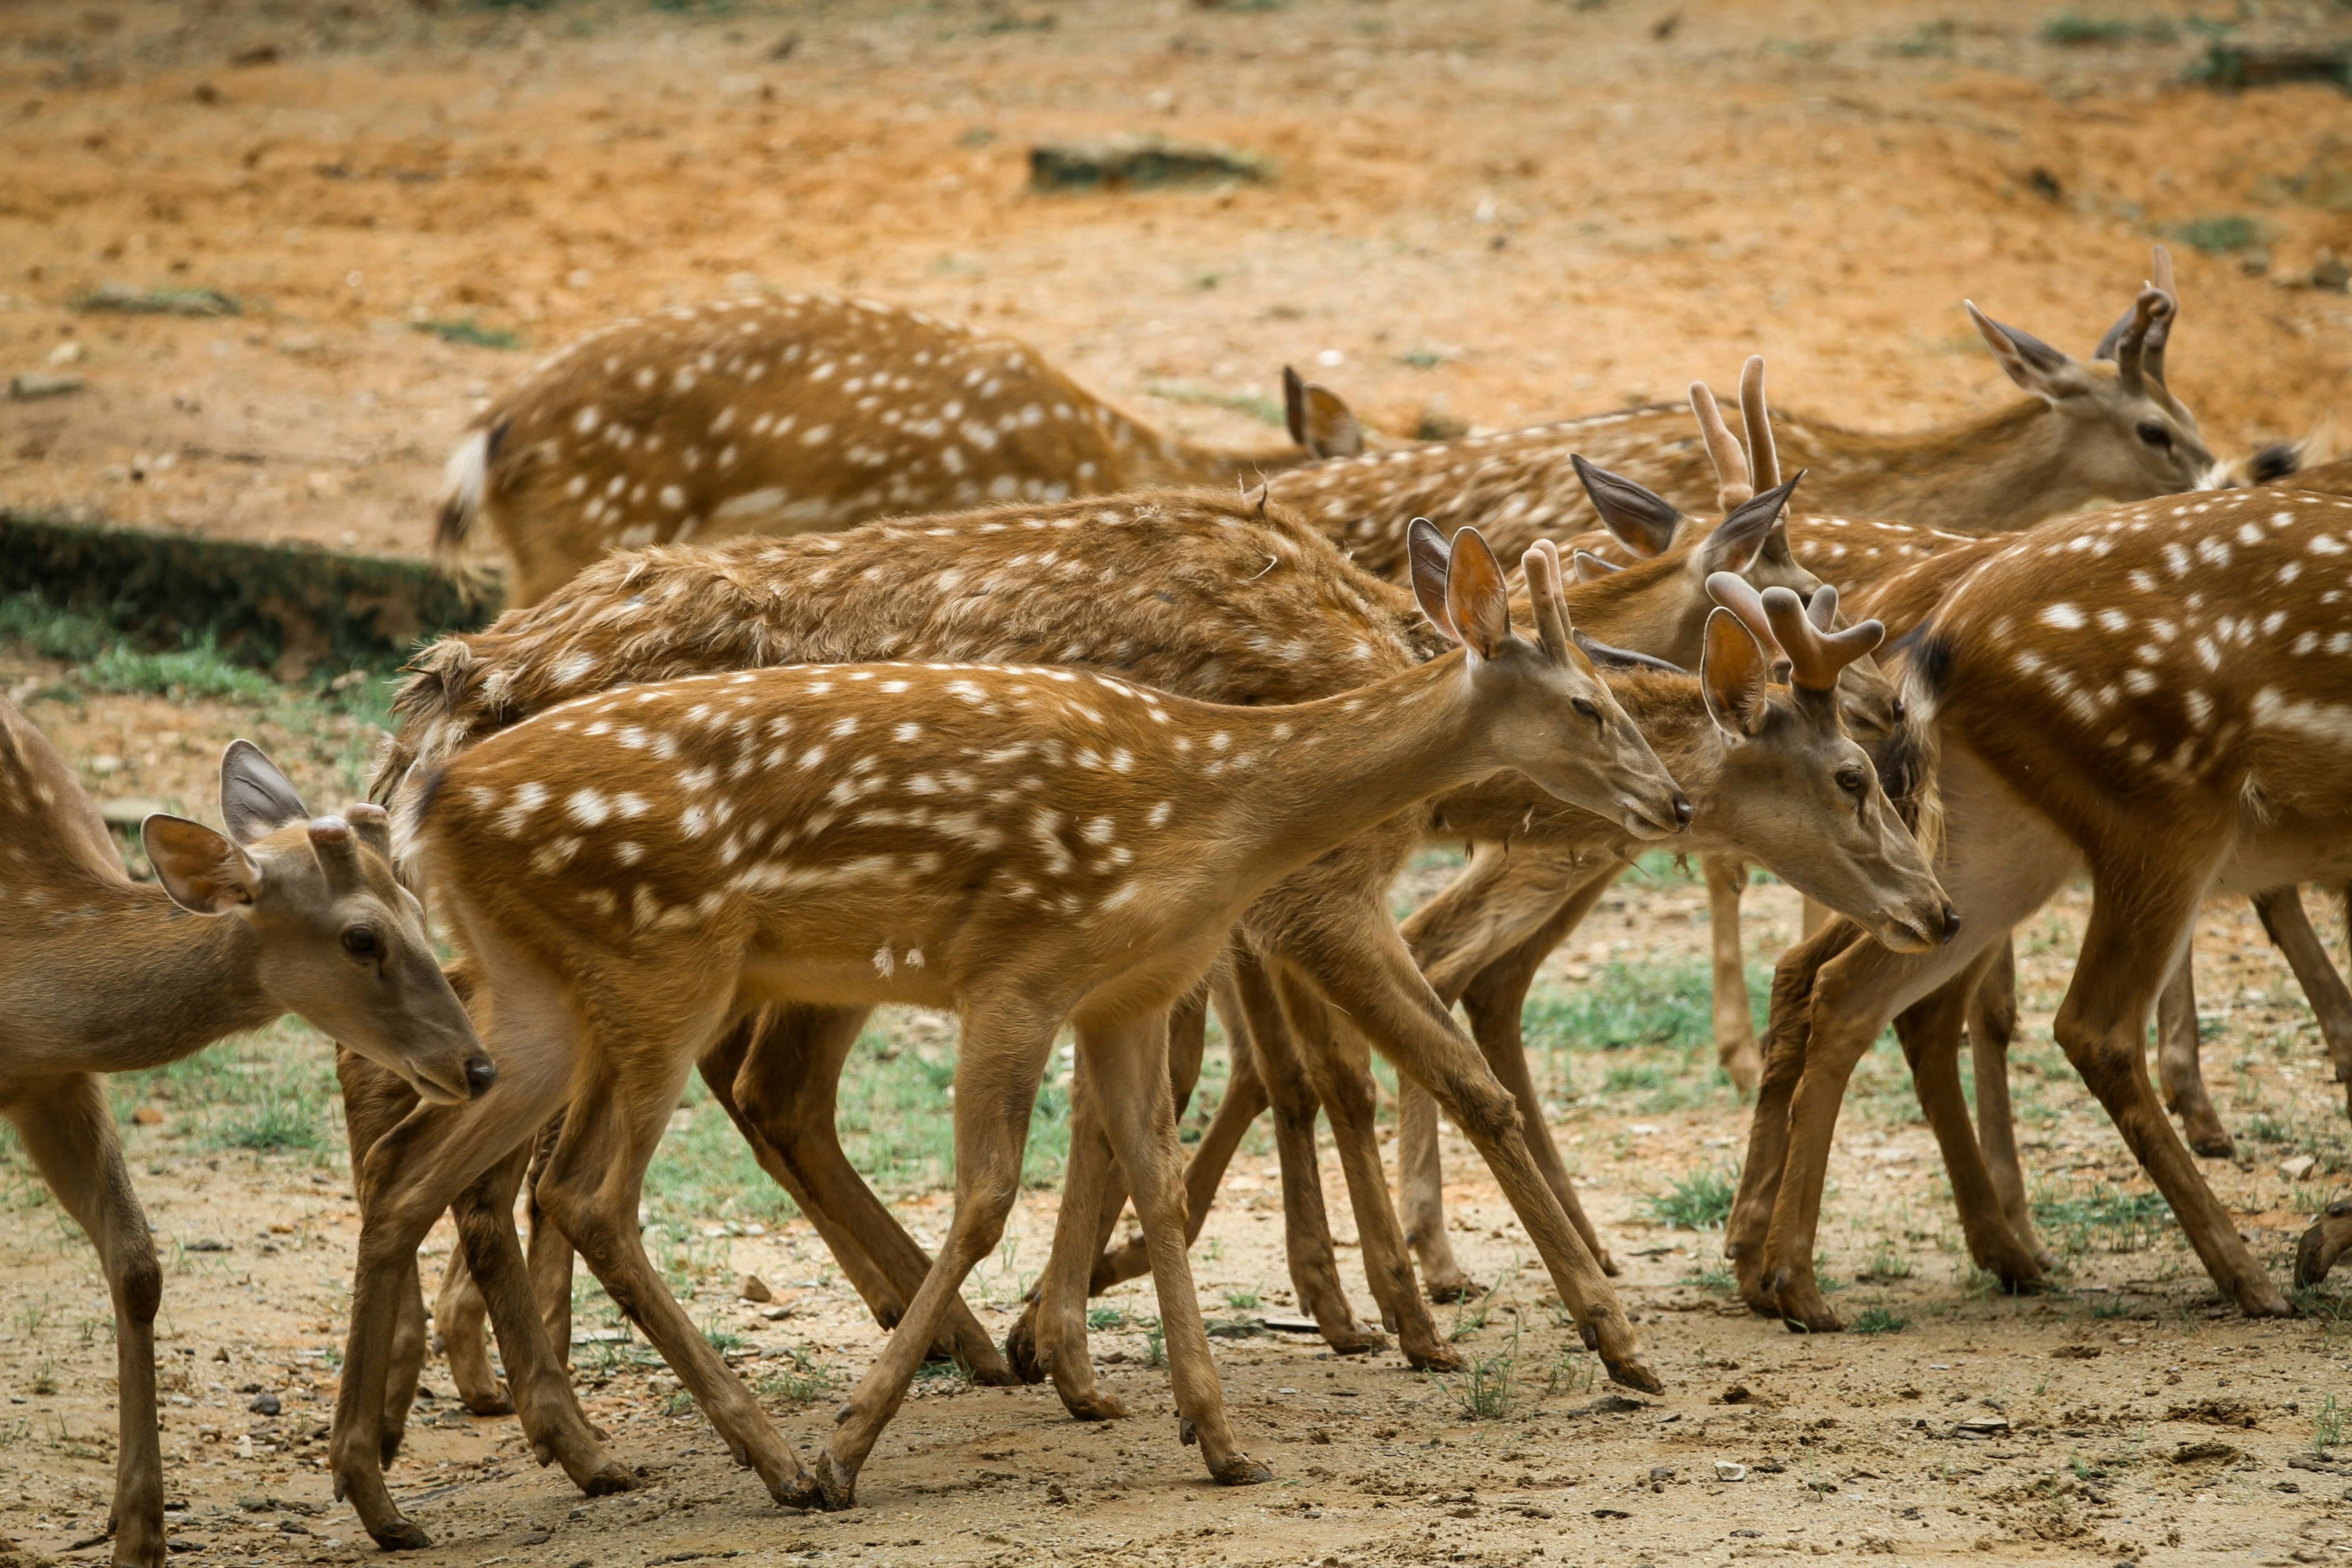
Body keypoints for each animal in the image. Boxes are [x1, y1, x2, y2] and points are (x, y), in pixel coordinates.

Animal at [0, 710, 489, 1568]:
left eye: (419, 907)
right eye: (360, 939)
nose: (478, 1065)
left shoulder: (50, 1077)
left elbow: (137, 1266)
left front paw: (140, 1533)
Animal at [1712, 484, 2352, 1335]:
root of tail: (1940, 643)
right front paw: (2319, 1238)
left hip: (1994, 848)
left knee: (1840, 987)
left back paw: (1790, 1278)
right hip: (2164, 809)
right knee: (2089, 1025)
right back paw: (2244, 1276)